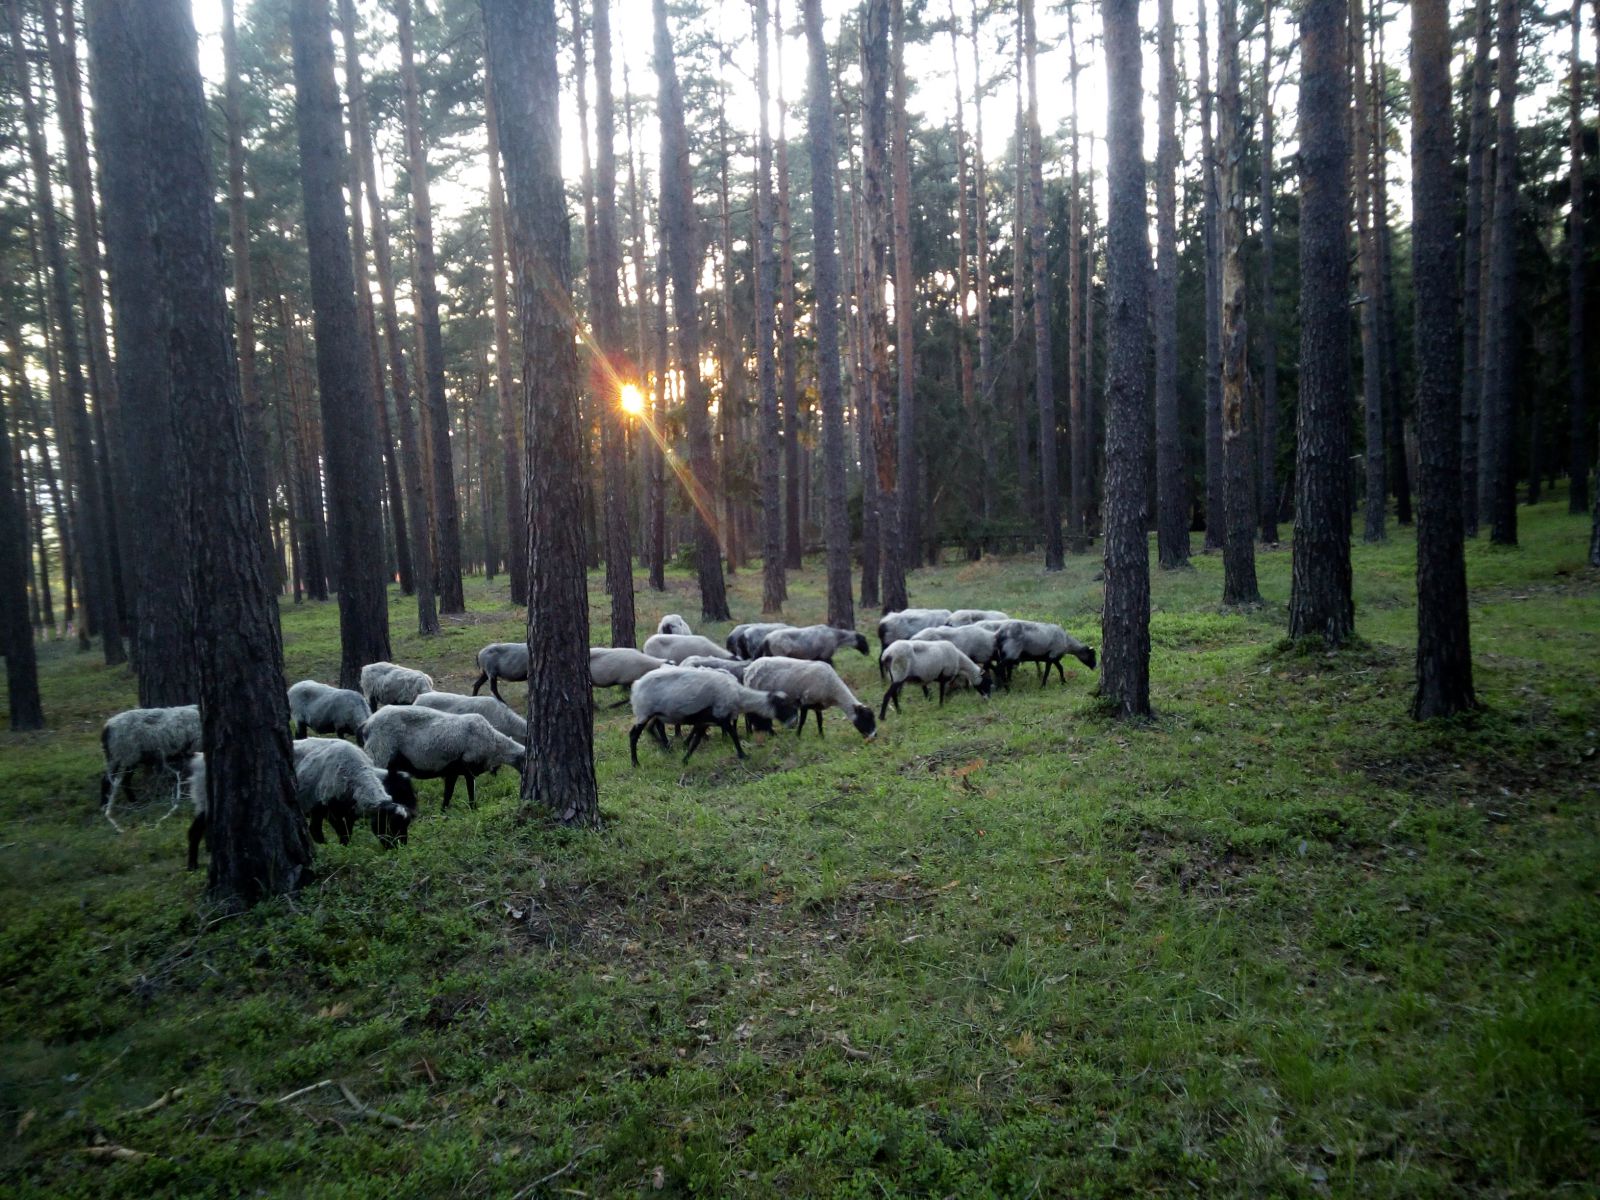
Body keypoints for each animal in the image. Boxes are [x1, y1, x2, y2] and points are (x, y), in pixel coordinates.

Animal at [363, 710, 524, 812]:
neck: (494, 744)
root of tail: (367, 725)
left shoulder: (454, 771)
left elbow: (449, 793)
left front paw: (443, 813)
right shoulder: (466, 767)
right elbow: (468, 793)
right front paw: (473, 810)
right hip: (379, 752)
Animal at [624, 662, 800, 764]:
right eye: (785, 706)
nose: (793, 723)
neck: (738, 696)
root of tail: (636, 685)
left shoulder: (706, 721)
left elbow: (696, 742)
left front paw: (685, 759)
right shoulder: (721, 716)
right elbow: (733, 735)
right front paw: (743, 755)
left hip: (654, 714)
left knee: (652, 729)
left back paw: (665, 749)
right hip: (644, 713)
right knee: (633, 735)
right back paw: (635, 763)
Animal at [742, 659, 883, 742]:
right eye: (866, 718)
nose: (875, 736)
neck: (833, 689)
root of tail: (749, 669)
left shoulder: (817, 705)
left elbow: (820, 721)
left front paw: (822, 737)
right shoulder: (805, 702)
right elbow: (803, 721)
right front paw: (798, 736)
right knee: (748, 715)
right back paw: (751, 734)